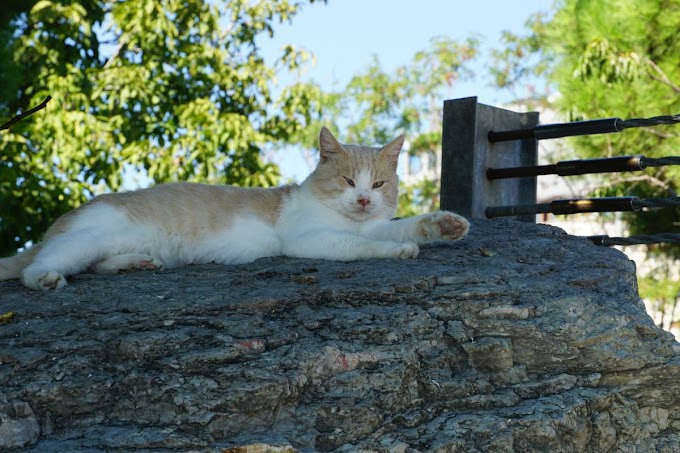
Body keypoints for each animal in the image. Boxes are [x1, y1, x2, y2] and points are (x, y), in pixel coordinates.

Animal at [0, 127, 468, 290]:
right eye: (349, 182)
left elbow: (401, 227)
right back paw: (45, 278)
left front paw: (444, 226)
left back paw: (136, 264)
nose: (365, 200)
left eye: (379, 184)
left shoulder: (371, 225)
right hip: (86, 238)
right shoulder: (311, 240)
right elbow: (363, 247)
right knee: (35, 268)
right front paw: (395, 253)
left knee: (97, 264)